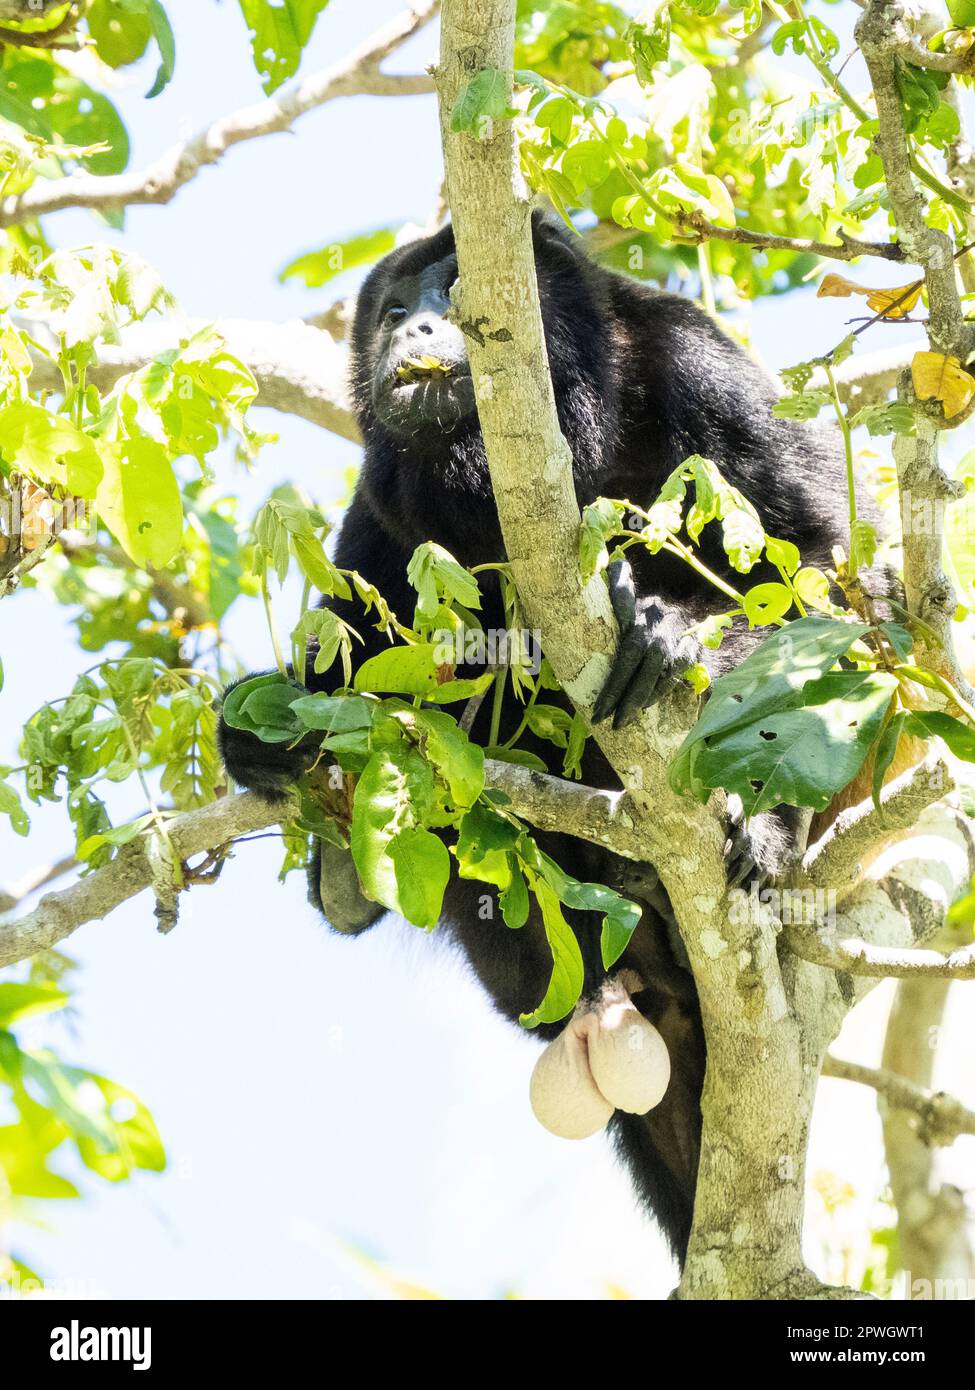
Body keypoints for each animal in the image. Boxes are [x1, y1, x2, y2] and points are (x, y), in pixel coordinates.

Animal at [218, 211, 845, 1267]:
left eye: (455, 288)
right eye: (393, 308)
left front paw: (670, 635)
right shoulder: (381, 490)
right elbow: (361, 633)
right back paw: (347, 880)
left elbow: (812, 554)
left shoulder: (693, 359)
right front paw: (262, 732)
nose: (414, 331)